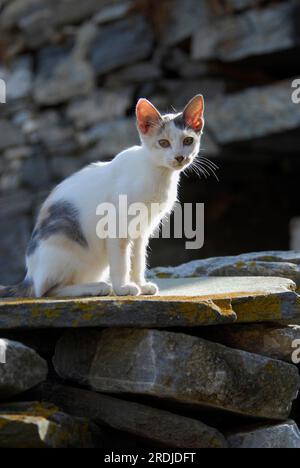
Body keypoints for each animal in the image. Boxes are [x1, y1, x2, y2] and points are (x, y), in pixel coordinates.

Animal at [0, 95, 204, 298]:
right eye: (163, 143)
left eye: (188, 141)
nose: (180, 157)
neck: (158, 174)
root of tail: (29, 277)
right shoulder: (117, 228)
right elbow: (122, 263)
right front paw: (123, 288)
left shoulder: (141, 231)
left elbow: (138, 260)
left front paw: (141, 284)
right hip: (64, 239)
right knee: (46, 291)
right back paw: (97, 287)